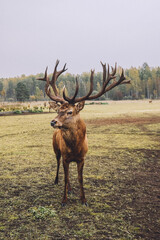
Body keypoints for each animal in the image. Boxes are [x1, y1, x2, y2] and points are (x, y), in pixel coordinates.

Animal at [37, 60, 130, 206]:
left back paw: (70, 189)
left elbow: (80, 178)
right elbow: (66, 177)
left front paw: (84, 199)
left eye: (70, 111)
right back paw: (57, 181)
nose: (53, 122)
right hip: (56, 149)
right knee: (58, 165)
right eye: (58, 110)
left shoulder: (82, 158)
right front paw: (64, 200)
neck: (75, 148)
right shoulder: (66, 157)